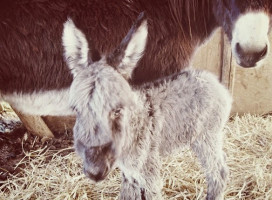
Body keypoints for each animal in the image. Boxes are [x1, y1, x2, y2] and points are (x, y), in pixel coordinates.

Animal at [61, 13, 232, 199]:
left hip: (207, 136)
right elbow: (128, 194)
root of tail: (213, 80)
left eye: (117, 110)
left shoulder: (147, 171)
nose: (94, 172)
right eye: (76, 110)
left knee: (219, 172)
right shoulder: (129, 172)